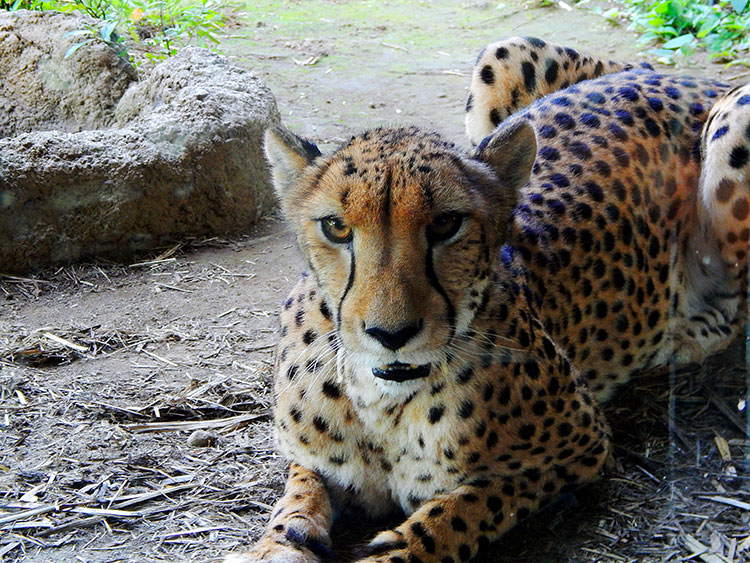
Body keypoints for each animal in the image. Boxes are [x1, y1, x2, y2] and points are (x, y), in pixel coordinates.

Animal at [232, 37, 748, 560]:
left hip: (734, 126)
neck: (383, 403)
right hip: (502, 54)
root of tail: (677, 74)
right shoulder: (312, 459)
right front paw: (280, 541)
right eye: (336, 227)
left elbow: (465, 508)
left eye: (445, 224)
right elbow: (300, 492)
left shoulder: (582, 448)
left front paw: (404, 542)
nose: (389, 335)